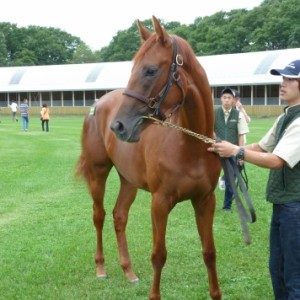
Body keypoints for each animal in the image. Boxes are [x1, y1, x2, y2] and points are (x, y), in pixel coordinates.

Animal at [77, 17, 223, 300]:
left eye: (150, 70)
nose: (118, 126)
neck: (190, 147)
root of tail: (98, 103)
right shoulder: (160, 203)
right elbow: (159, 255)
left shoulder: (205, 201)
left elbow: (209, 253)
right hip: (98, 173)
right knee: (99, 215)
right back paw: (101, 268)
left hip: (128, 180)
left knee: (119, 216)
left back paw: (128, 271)